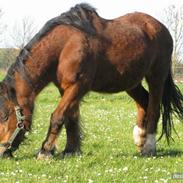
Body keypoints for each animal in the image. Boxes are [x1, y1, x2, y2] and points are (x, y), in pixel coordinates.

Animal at [0, 3, 183, 159]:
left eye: (4, 116)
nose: (2, 152)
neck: (65, 46)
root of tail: (160, 27)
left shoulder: (77, 86)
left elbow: (58, 117)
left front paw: (45, 151)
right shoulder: (66, 89)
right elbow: (71, 119)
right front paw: (70, 150)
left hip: (156, 78)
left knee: (154, 110)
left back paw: (149, 147)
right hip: (131, 82)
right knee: (144, 102)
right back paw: (139, 139)